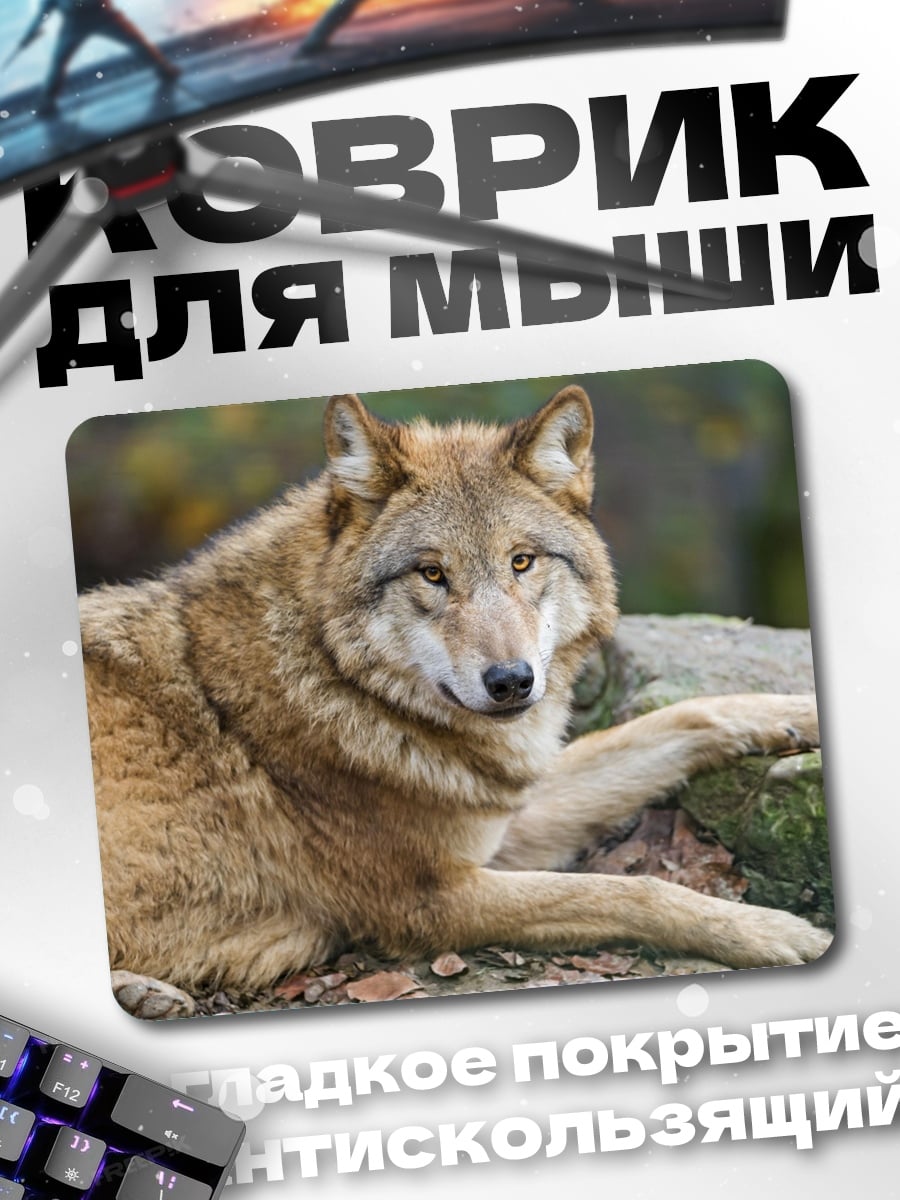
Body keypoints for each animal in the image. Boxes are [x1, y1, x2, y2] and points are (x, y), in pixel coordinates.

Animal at [79, 386, 830, 1016]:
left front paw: (801, 714)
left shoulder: (500, 819)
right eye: (433, 574)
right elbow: (630, 888)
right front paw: (774, 930)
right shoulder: (432, 899)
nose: (511, 681)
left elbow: (678, 718)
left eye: (522, 561)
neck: (335, 678)